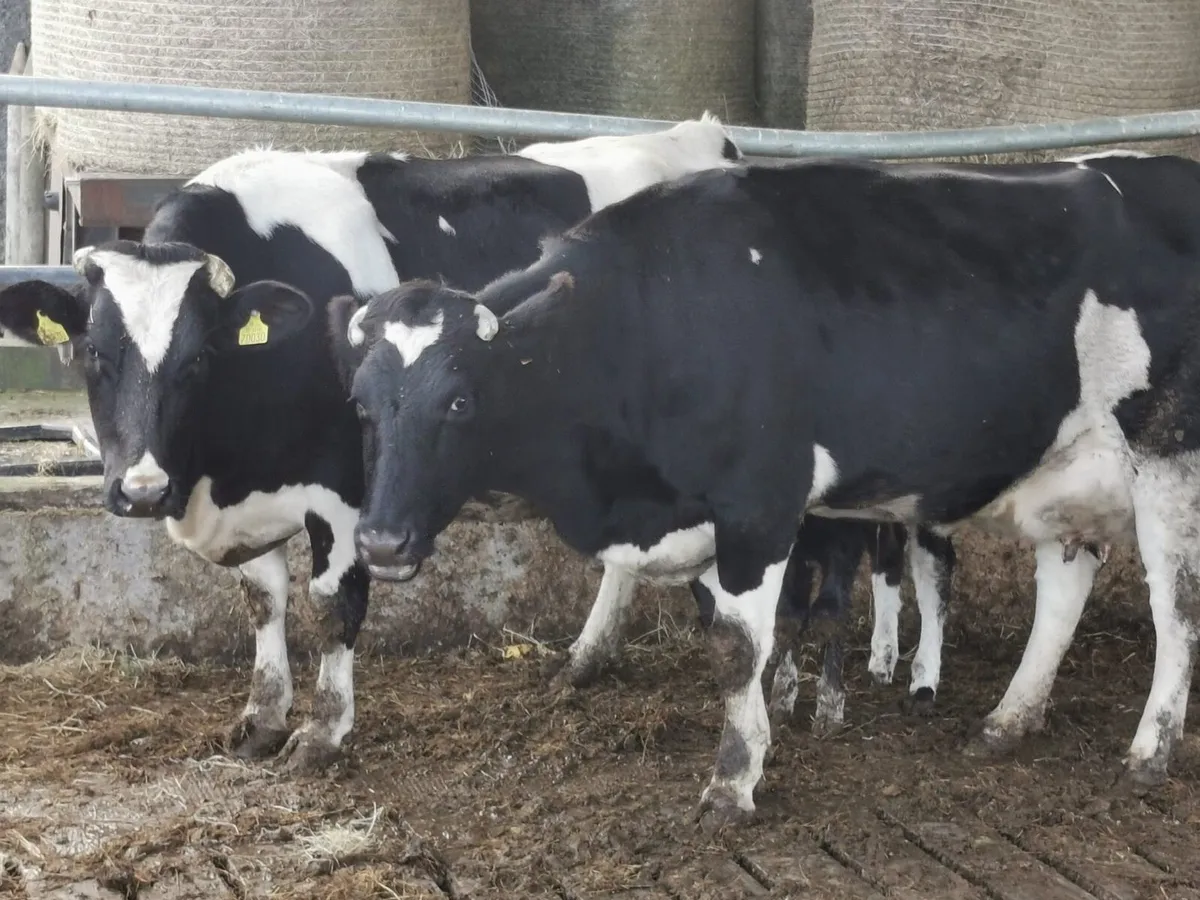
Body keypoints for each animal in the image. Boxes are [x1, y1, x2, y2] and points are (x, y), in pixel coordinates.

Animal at [0, 115, 753, 773]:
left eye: (197, 360)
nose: (142, 490)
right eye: (92, 354)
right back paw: (586, 659)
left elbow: (334, 604)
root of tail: (704, 136)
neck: (223, 473)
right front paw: (262, 717)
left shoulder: (346, 489)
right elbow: (264, 600)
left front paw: (322, 733)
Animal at [334, 150, 1200, 825]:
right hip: (1072, 473)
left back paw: (1150, 749)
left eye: (460, 401)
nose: (380, 540)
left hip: (1167, 459)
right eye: (360, 405)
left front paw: (732, 782)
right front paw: (760, 739)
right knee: (1066, 587)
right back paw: (1010, 719)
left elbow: (737, 646)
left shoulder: (757, 503)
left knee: (1176, 607)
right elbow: (743, 639)